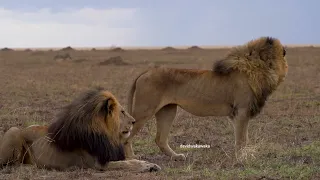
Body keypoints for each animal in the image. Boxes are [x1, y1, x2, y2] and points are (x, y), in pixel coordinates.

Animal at [0, 88, 160, 172]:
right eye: (122, 112)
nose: (133, 121)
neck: (107, 135)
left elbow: (129, 159)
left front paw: (150, 164)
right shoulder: (96, 164)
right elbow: (126, 163)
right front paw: (148, 165)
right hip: (14, 130)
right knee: (11, 164)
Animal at [124, 36, 288, 160]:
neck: (258, 69)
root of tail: (146, 71)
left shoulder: (238, 113)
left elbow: (242, 137)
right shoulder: (241, 111)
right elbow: (242, 138)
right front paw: (242, 158)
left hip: (168, 110)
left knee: (160, 139)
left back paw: (177, 157)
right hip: (144, 110)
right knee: (127, 137)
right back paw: (132, 158)